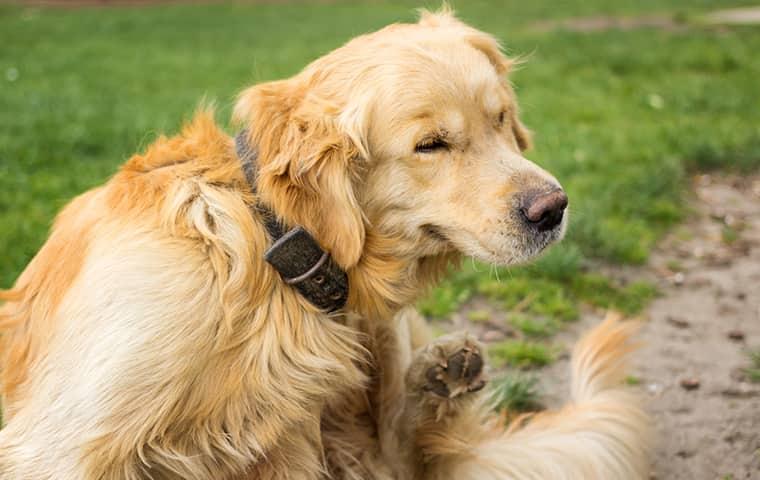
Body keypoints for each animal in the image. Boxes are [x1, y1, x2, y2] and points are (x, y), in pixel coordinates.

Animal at [1, 7, 652, 480]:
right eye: (431, 145)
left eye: (500, 119)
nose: (553, 208)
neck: (266, 241)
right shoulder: (61, 444)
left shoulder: (292, 433)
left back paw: (438, 379)